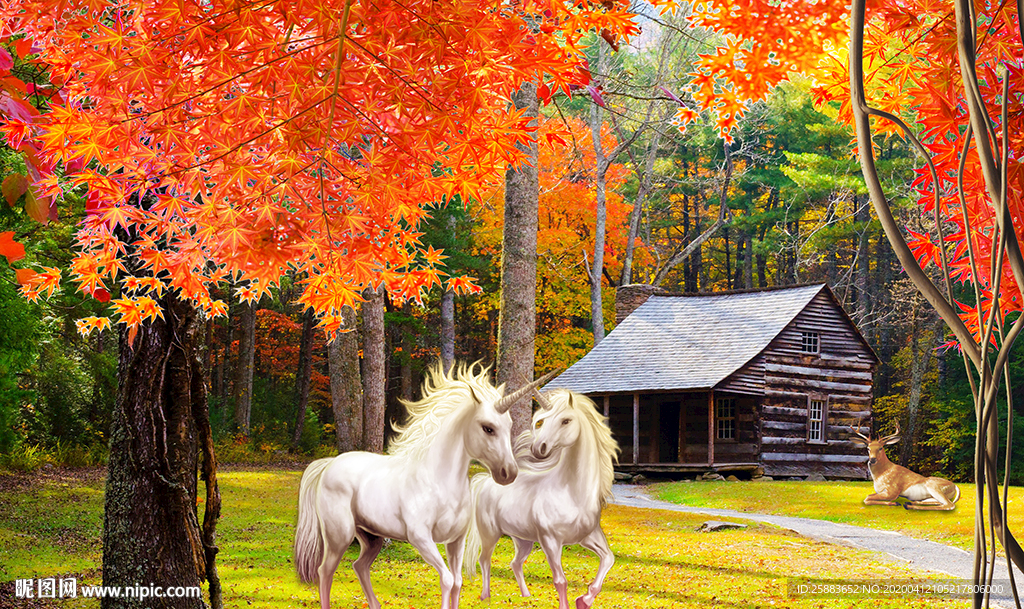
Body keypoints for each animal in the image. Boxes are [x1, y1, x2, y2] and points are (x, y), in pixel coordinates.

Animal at [296, 362, 552, 609]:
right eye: (488, 428)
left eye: (508, 426)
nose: (509, 473)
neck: (439, 484)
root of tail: (329, 464)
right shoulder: (420, 538)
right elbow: (447, 579)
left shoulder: (456, 541)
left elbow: (457, 582)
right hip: (339, 535)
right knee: (325, 570)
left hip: (371, 538)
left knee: (359, 566)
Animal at [466, 390, 622, 609]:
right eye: (542, 421)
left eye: (566, 420)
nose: (539, 448)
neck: (572, 493)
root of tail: (485, 481)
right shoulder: (551, 541)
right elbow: (560, 581)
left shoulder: (589, 537)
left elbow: (609, 559)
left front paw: (584, 600)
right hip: (490, 534)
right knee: (484, 560)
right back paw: (486, 597)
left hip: (523, 540)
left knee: (515, 563)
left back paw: (526, 595)